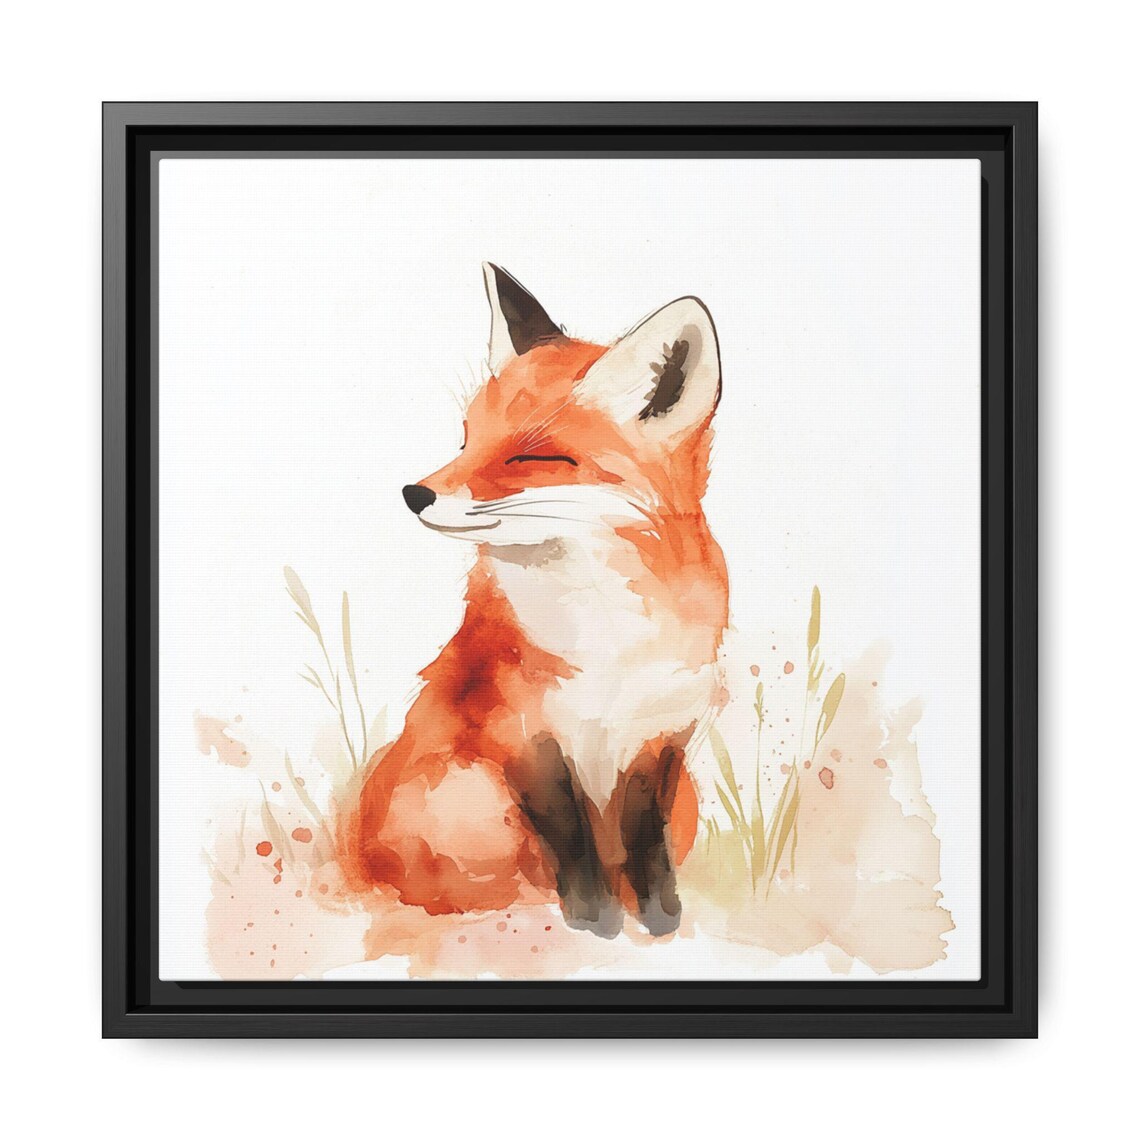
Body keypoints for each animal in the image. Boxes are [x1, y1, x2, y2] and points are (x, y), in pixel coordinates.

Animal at [340, 264, 729, 938]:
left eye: (532, 456)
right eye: (467, 439)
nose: (415, 494)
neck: (609, 640)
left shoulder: (663, 736)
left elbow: (645, 843)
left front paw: (659, 920)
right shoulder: (521, 736)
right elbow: (569, 840)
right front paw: (596, 924)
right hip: (468, 795)